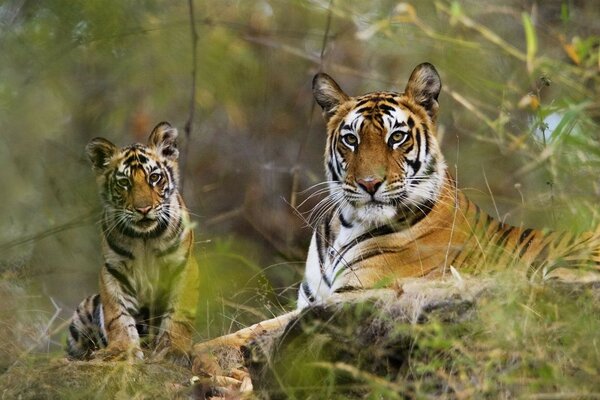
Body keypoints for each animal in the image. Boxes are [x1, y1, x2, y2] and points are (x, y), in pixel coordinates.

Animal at [67, 122, 199, 362]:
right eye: (124, 183)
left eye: (154, 178)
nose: (143, 209)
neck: (145, 238)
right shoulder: (113, 271)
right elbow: (117, 316)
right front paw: (122, 351)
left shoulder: (183, 266)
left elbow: (179, 316)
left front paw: (173, 350)